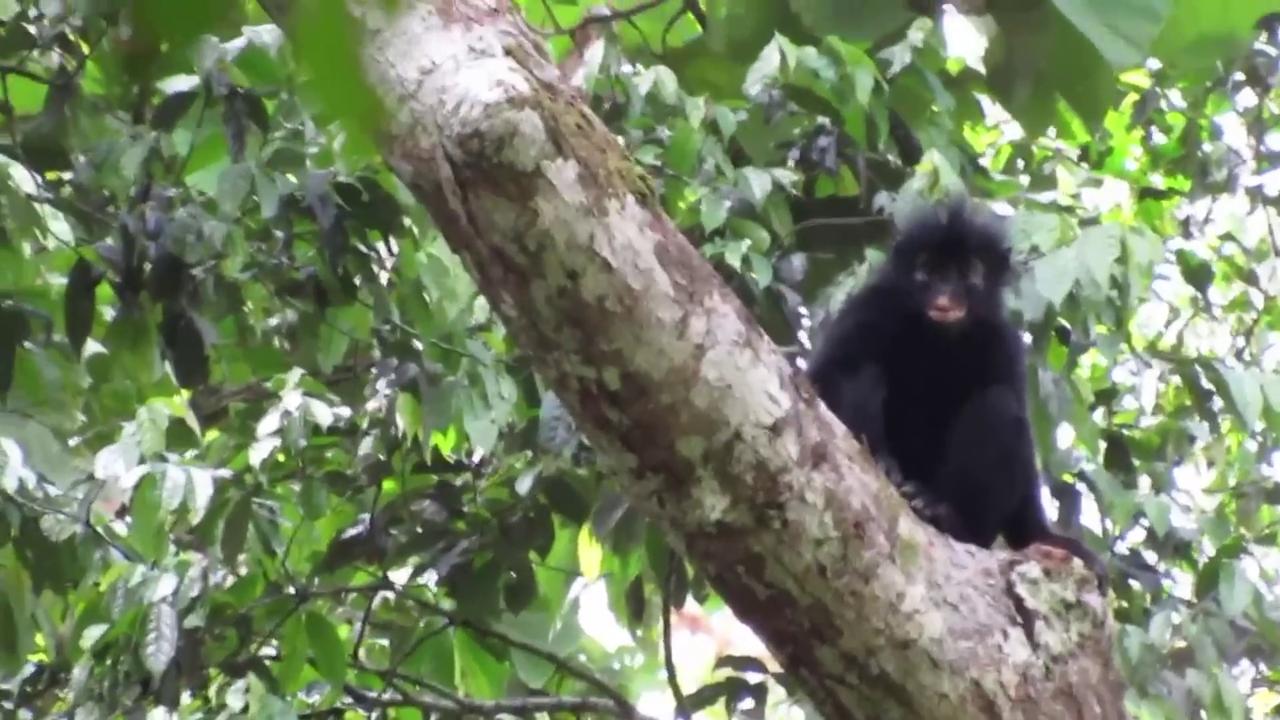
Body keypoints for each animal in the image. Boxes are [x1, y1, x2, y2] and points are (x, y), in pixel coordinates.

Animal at [806, 200, 1107, 589]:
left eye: (966, 274)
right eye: (930, 272)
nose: (944, 297)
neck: (939, 338)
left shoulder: (1001, 340)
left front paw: (1046, 538)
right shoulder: (872, 305)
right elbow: (822, 377)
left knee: (1000, 406)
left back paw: (944, 515)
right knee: (860, 371)